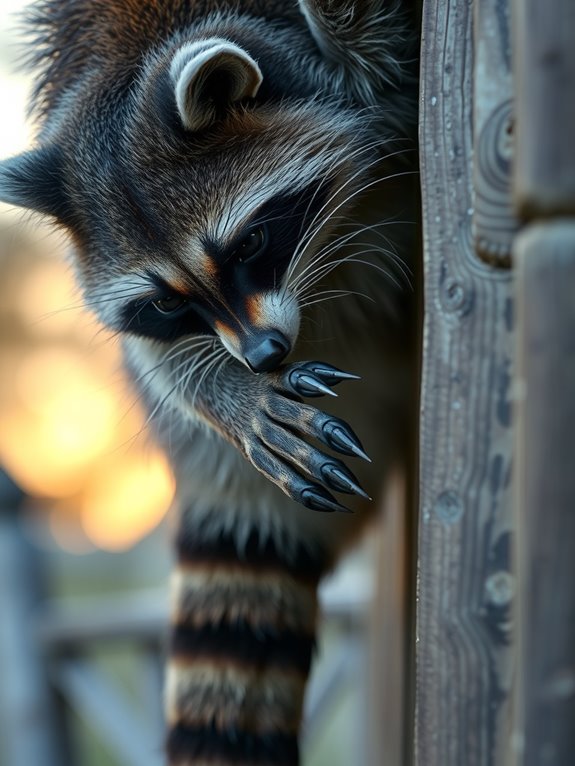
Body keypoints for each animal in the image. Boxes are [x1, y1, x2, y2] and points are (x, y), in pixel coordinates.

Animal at [0, 0, 418, 763]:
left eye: (248, 243)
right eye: (168, 303)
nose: (260, 355)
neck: (130, 60)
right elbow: (151, 356)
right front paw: (225, 395)